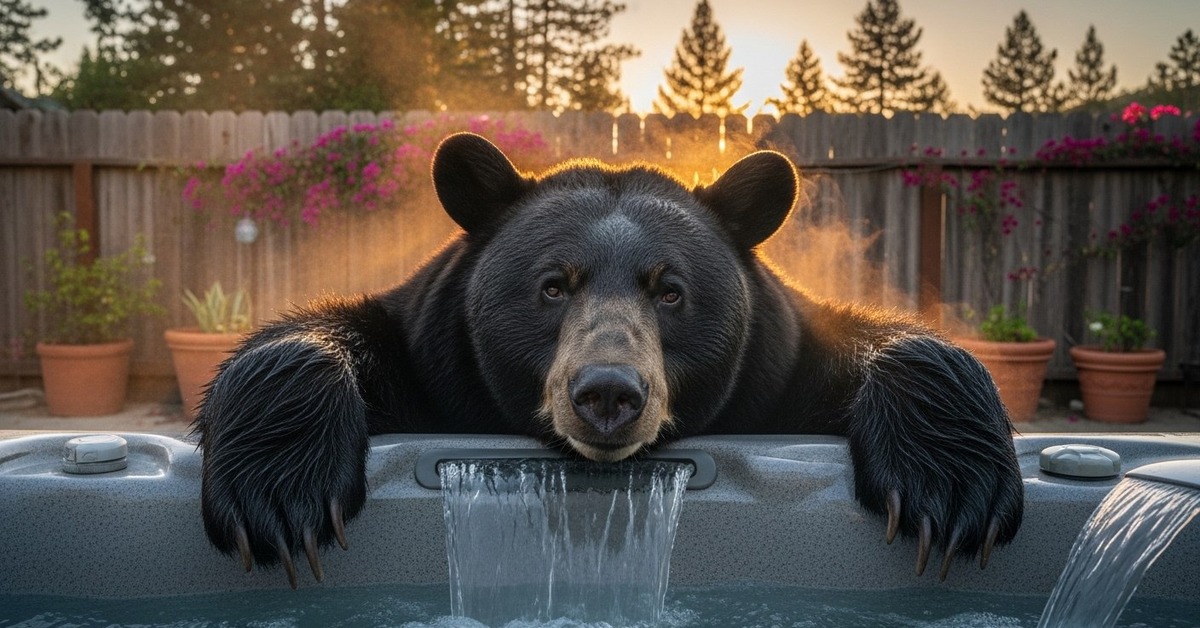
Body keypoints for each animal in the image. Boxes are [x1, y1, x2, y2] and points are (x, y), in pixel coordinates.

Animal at [195, 132, 1024, 589]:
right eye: (553, 284)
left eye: (671, 290)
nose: (607, 394)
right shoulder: (427, 355)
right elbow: (307, 336)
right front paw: (283, 499)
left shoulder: (782, 366)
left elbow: (890, 343)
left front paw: (953, 493)